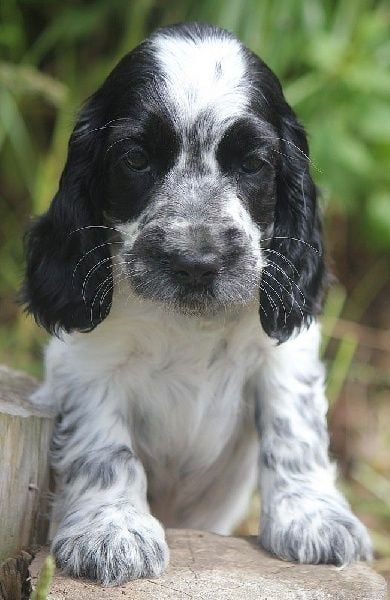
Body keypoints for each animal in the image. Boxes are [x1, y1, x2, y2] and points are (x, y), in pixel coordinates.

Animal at [23, 23, 372, 584]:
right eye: (135, 159)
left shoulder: (283, 353)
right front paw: (112, 531)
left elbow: (294, 429)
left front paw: (313, 518)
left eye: (252, 163)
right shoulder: (87, 361)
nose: (195, 261)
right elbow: (104, 446)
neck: (190, 326)